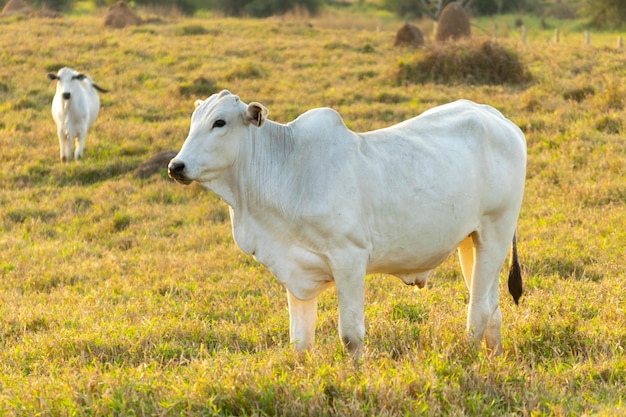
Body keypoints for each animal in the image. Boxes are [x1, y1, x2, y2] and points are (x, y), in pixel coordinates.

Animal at [167, 90, 528, 360]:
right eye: (194, 122)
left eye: (219, 122)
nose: (175, 166)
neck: (287, 169)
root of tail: (496, 116)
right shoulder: (295, 270)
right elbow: (300, 342)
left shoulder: (350, 259)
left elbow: (351, 337)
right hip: (471, 240)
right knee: (491, 305)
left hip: (496, 231)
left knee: (479, 309)